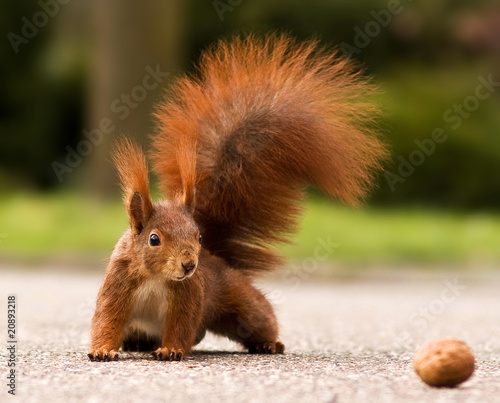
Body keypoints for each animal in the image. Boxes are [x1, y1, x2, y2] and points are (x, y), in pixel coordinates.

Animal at [88, 35, 388, 362]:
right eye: (154, 239)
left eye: (199, 236)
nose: (189, 265)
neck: (156, 277)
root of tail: (217, 260)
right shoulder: (119, 284)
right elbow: (107, 318)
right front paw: (102, 350)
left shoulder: (189, 295)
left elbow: (180, 325)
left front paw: (171, 349)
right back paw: (136, 343)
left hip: (240, 304)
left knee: (255, 319)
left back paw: (269, 344)